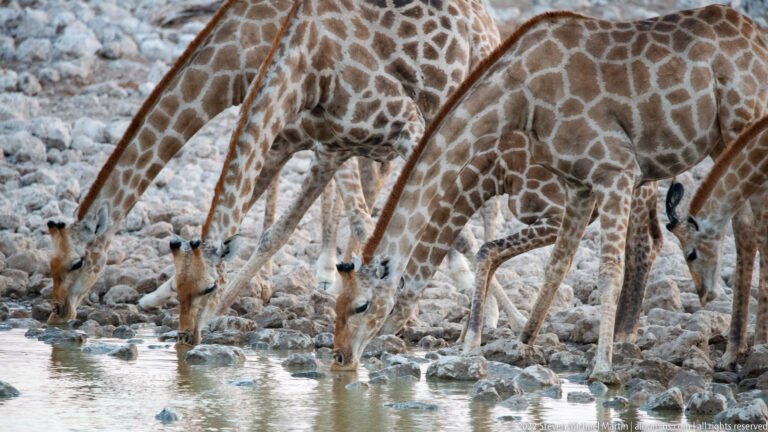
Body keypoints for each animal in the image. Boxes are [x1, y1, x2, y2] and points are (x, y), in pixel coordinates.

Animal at [168, 0, 508, 341]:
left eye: (207, 287)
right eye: (179, 288)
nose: (186, 337)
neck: (305, 61)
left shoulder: (407, 124)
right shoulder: (332, 148)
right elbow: (276, 233)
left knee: (487, 205)